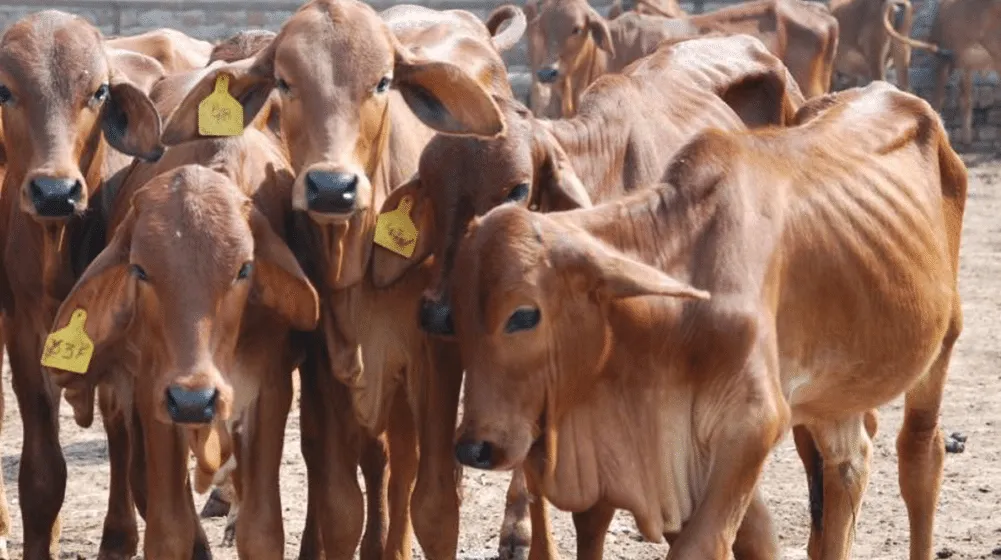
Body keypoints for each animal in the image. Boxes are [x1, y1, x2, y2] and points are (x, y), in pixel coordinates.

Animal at [0, 10, 167, 560]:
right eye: (5, 90)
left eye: (98, 91)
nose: (54, 191)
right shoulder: (23, 334)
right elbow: (41, 476)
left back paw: (118, 535)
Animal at [158, 0, 526, 558]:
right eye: (284, 82)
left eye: (382, 82)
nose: (332, 187)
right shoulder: (324, 365)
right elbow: (339, 504)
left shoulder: (435, 358)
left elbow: (436, 505)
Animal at [450, 80, 966, 560]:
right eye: (458, 317)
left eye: (523, 315)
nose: (474, 447)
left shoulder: (753, 426)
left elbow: (704, 543)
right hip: (834, 391)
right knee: (848, 465)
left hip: (942, 343)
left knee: (920, 453)